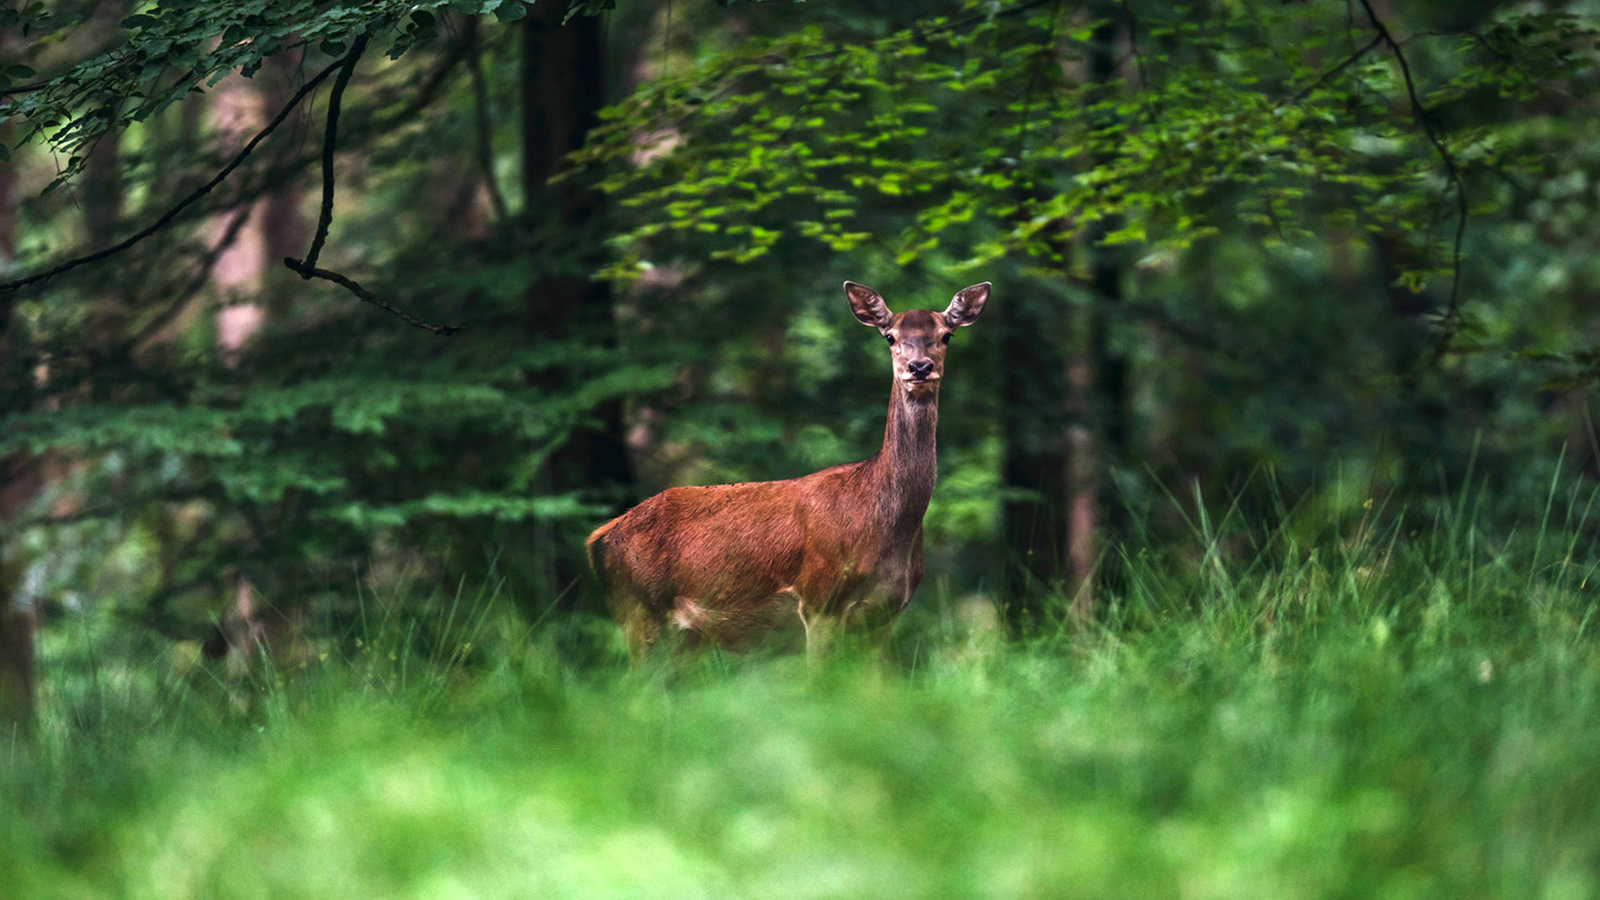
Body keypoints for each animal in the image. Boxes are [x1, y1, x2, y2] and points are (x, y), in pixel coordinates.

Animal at [586, 280, 990, 663]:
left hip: (683, 637)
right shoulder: (818, 599)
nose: (919, 367)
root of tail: (598, 539)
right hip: (639, 612)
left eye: (946, 334)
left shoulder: (887, 611)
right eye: (889, 336)